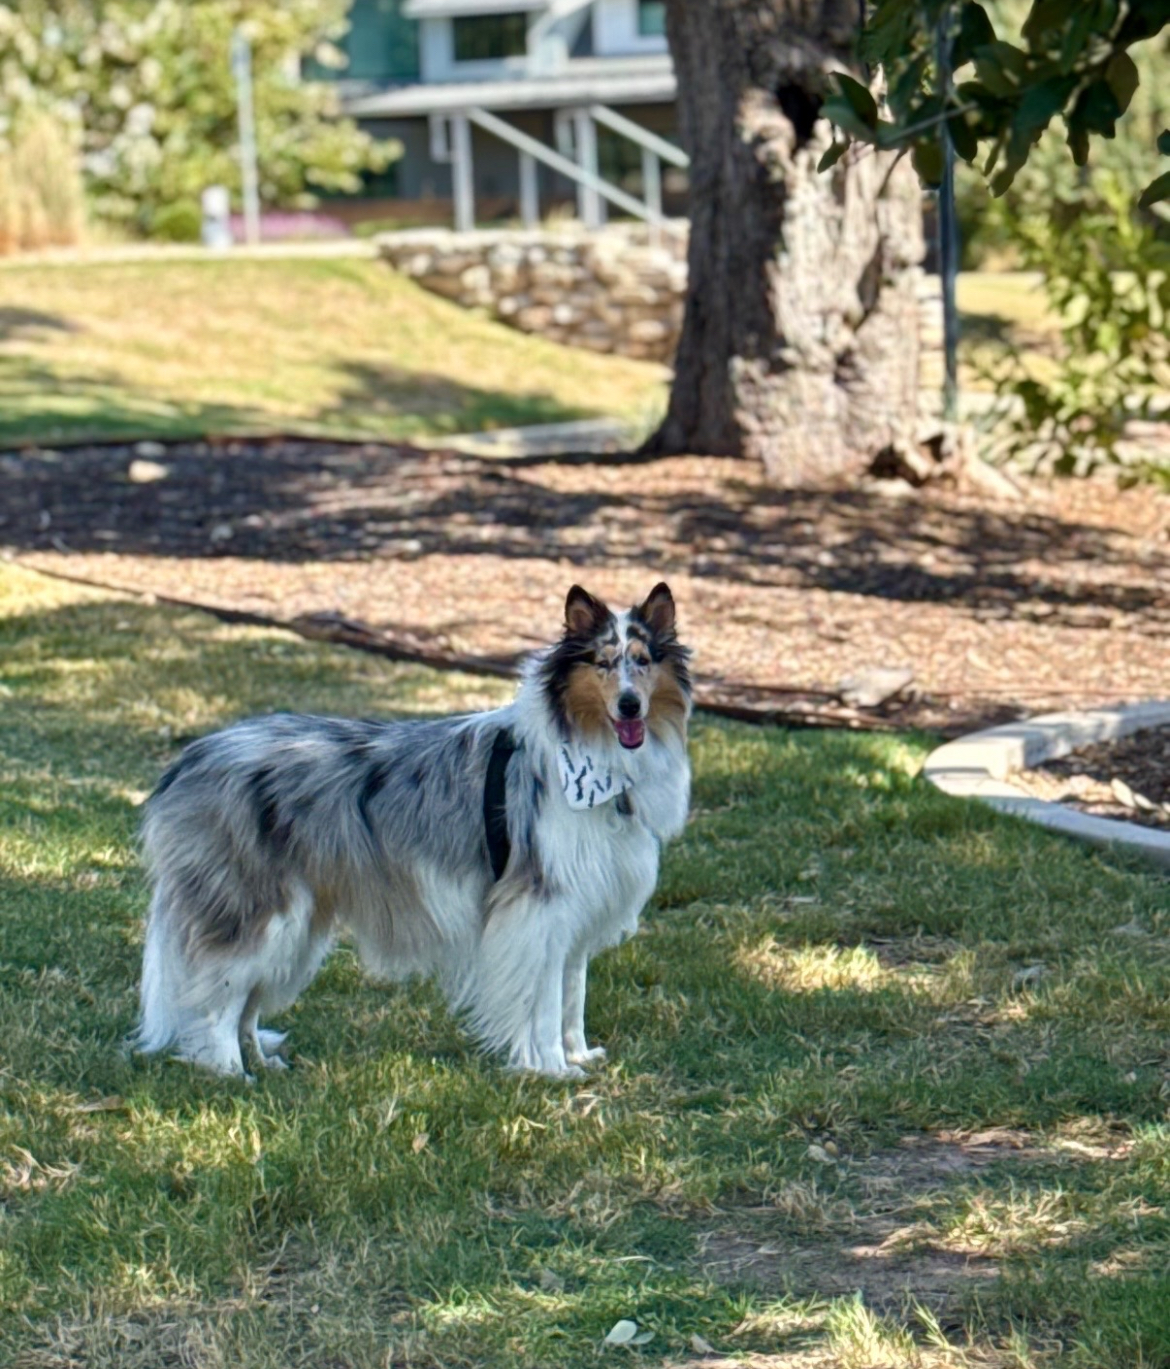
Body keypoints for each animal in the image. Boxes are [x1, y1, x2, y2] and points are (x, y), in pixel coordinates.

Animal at [134, 583, 691, 1078]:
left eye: (643, 660)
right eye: (602, 663)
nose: (629, 706)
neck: (591, 758)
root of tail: (192, 757)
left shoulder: (579, 911)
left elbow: (573, 998)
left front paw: (578, 1056)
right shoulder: (540, 909)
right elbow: (545, 1005)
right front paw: (552, 1070)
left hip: (296, 926)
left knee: (247, 1000)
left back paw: (263, 1064)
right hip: (259, 913)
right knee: (220, 996)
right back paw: (229, 1071)